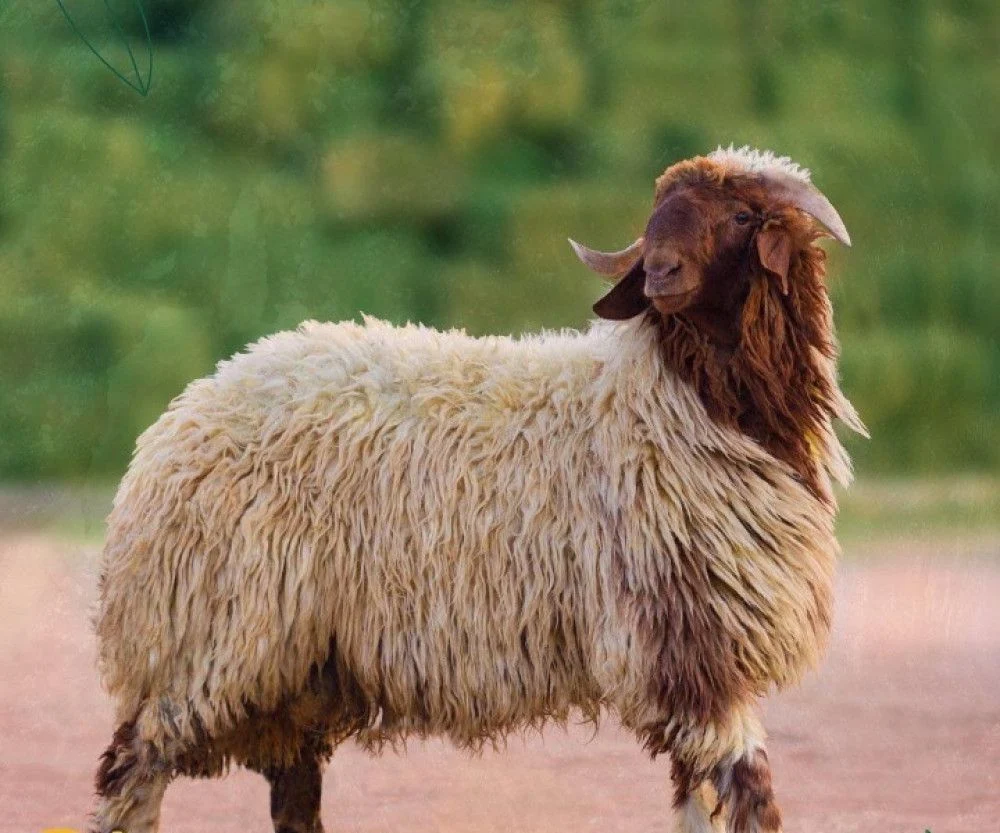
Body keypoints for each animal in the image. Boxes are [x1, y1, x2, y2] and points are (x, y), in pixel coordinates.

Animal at [91, 145, 865, 833]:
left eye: (741, 214)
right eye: (657, 215)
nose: (659, 273)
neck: (670, 398)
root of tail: (177, 422)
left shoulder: (692, 655)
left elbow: (699, 802)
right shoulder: (682, 642)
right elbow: (753, 793)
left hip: (296, 672)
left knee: (292, 795)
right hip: (212, 639)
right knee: (132, 766)